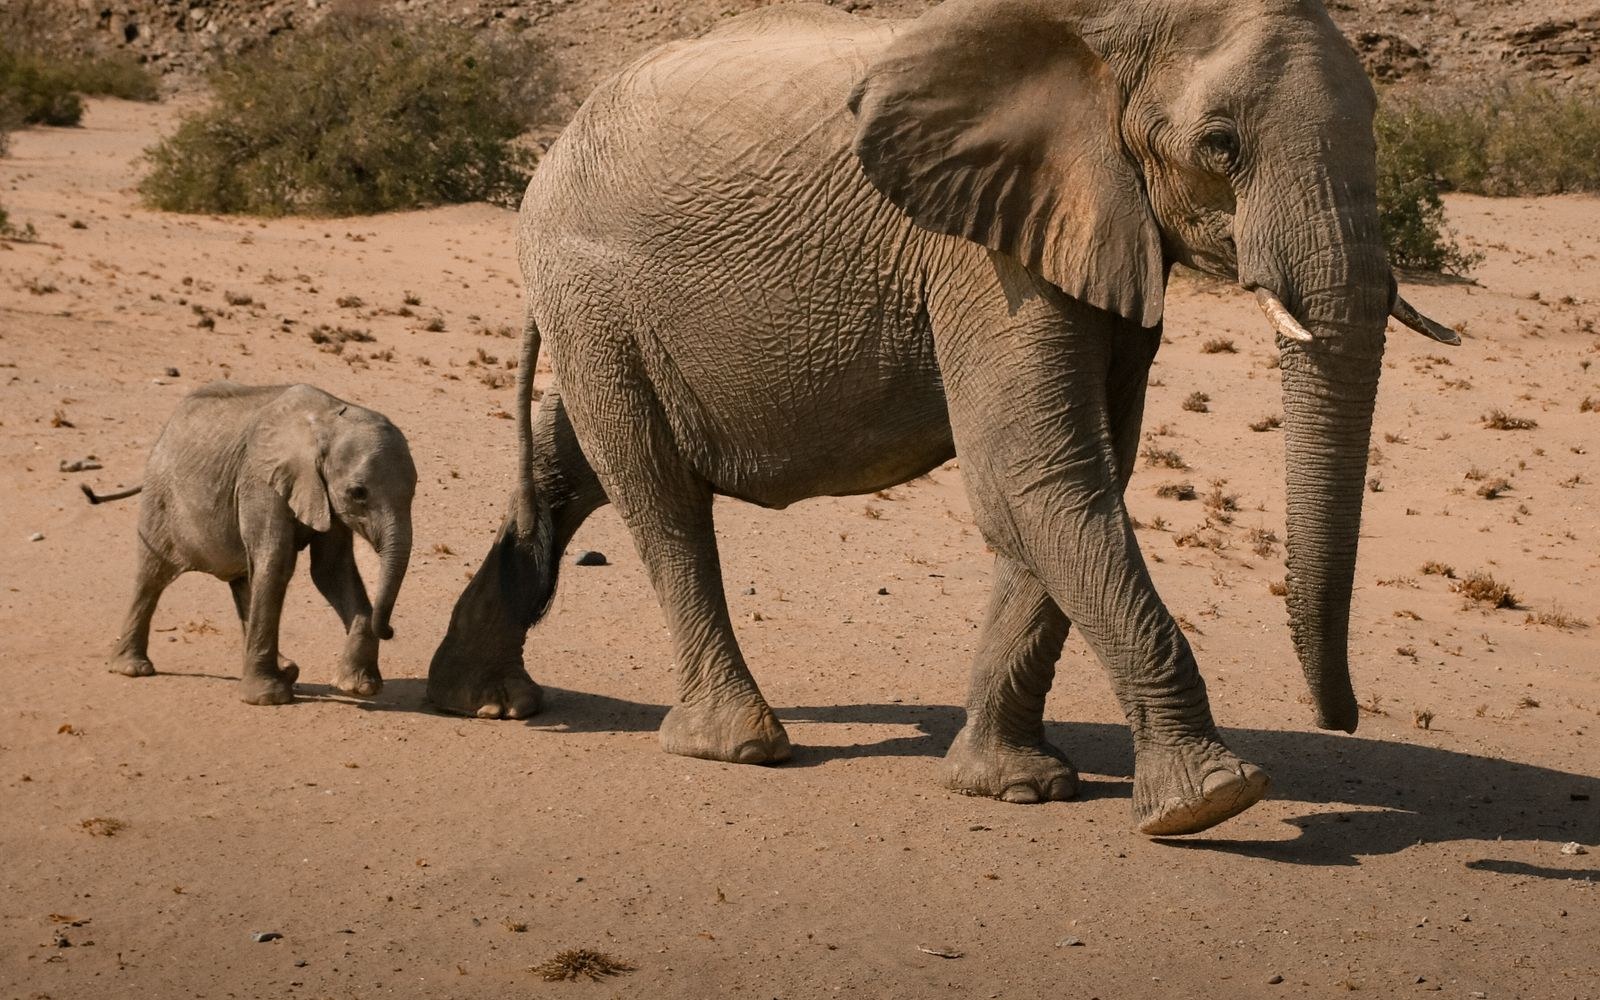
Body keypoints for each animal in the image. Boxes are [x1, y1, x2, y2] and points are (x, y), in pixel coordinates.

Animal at [89, 382, 417, 705]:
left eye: (414, 490)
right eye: (358, 493)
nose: (390, 630)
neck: (327, 422)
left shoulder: (323, 495)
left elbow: (331, 570)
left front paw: (359, 688)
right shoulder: (261, 481)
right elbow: (277, 562)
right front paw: (267, 698)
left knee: (244, 579)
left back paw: (288, 669)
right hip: (160, 499)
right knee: (152, 576)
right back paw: (132, 668)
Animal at [428, 0, 1459, 835]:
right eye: (1220, 147)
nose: (1340, 718)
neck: (1103, 34)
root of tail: (557, 141)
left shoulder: (1090, 229)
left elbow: (1070, 480)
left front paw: (1012, 786)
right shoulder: (979, 252)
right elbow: (1040, 473)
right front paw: (1212, 800)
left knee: (570, 470)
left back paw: (483, 701)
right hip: (591, 289)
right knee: (658, 493)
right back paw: (739, 744)